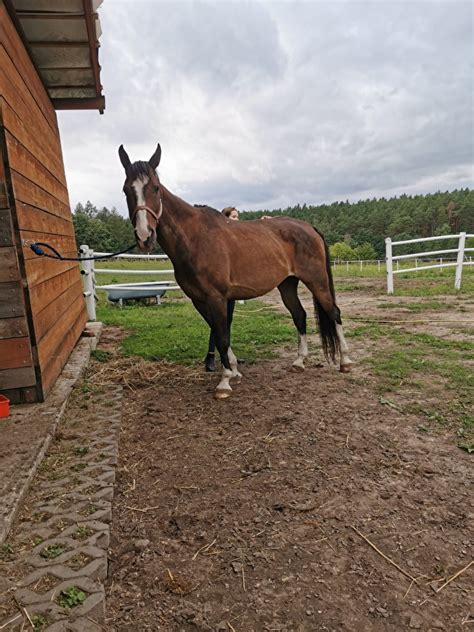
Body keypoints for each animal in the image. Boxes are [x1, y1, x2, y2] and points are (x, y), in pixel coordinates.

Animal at [118, 144, 352, 400]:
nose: (144, 236)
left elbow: (221, 336)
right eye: (126, 190)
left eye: (156, 188)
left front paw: (224, 382)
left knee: (334, 313)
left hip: (317, 281)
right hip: (287, 284)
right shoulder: (200, 300)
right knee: (299, 315)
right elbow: (219, 332)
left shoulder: (216, 297)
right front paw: (234, 371)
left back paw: (345, 361)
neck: (195, 239)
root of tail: (309, 227)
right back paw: (299, 362)